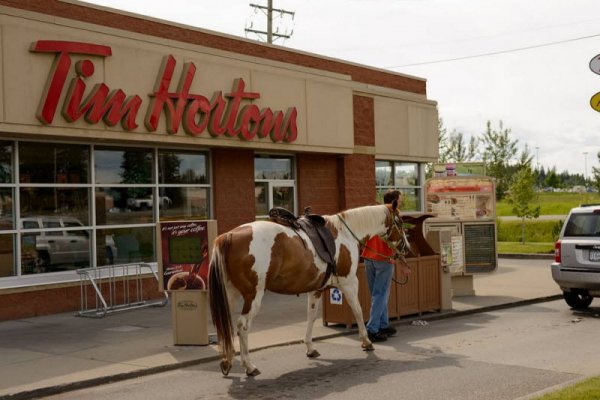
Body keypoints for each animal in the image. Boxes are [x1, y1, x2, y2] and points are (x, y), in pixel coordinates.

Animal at [210, 203, 404, 376]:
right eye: (400, 222)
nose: (405, 246)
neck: (345, 233)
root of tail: (228, 236)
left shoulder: (316, 289)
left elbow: (311, 316)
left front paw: (310, 347)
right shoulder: (349, 282)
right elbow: (357, 310)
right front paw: (366, 341)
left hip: (230, 295)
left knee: (225, 326)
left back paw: (227, 361)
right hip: (253, 296)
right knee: (242, 326)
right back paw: (249, 366)